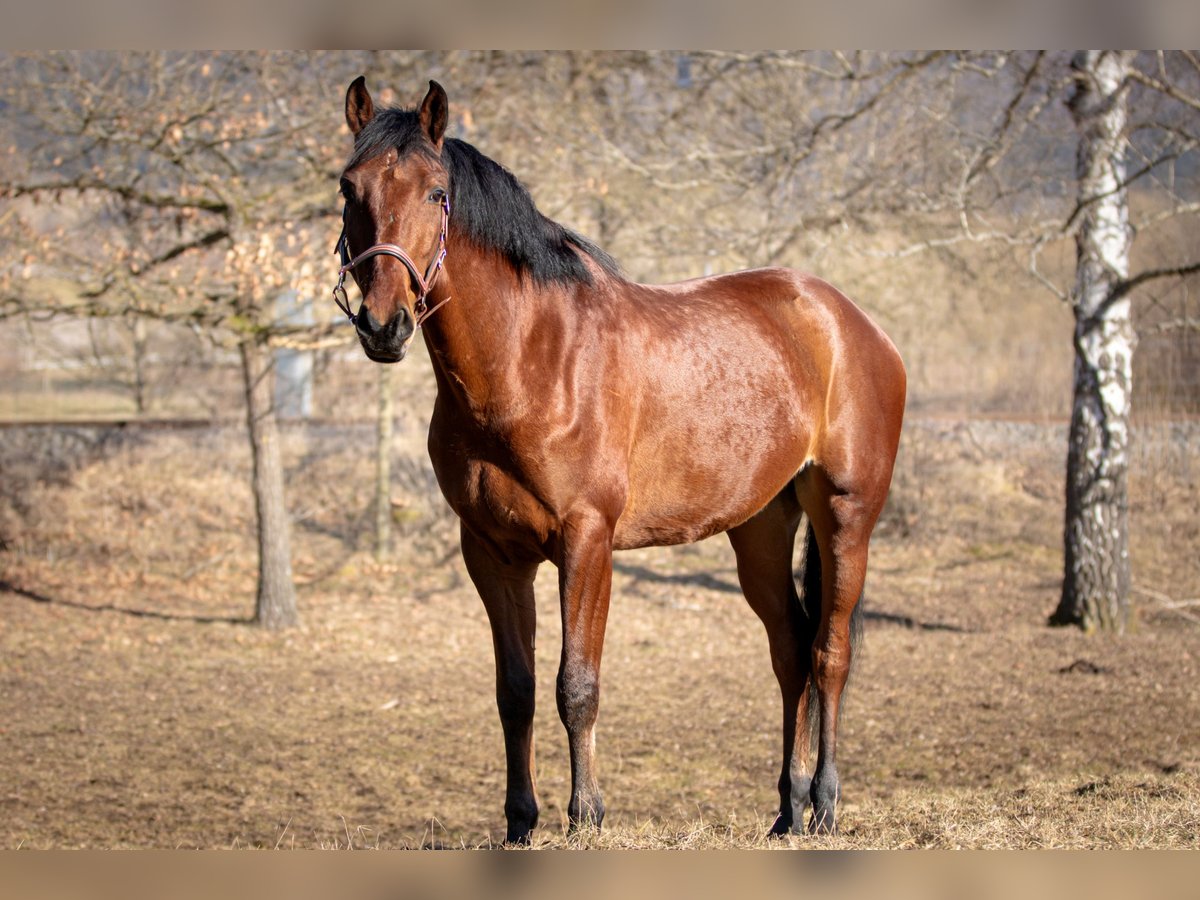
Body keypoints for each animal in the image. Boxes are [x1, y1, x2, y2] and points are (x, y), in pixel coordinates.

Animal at [333, 77, 902, 844]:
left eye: (435, 192)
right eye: (349, 186)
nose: (383, 324)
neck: (530, 359)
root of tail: (850, 321)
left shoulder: (587, 541)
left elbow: (576, 686)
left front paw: (585, 817)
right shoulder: (492, 553)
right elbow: (515, 692)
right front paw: (521, 823)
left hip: (846, 516)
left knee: (829, 654)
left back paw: (825, 807)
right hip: (761, 525)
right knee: (790, 653)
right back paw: (787, 808)